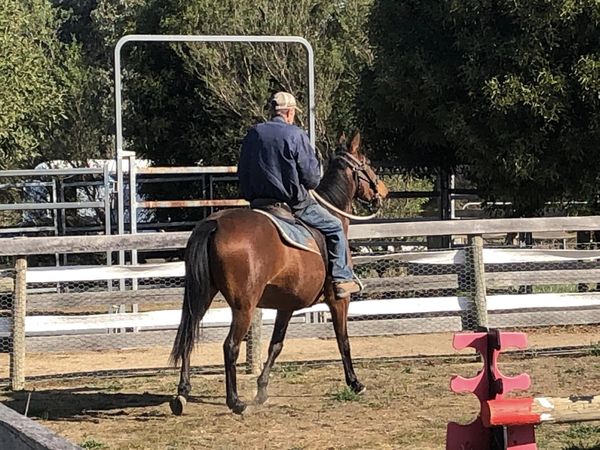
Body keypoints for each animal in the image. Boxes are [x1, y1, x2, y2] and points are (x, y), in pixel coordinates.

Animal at [169, 130, 390, 414]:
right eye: (366, 162)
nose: (383, 190)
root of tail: (214, 224)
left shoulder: (286, 306)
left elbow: (276, 345)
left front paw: (262, 389)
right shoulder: (339, 300)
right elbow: (343, 340)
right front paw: (355, 383)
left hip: (202, 296)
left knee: (188, 336)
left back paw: (182, 393)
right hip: (243, 306)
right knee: (230, 346)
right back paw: (235, 401)